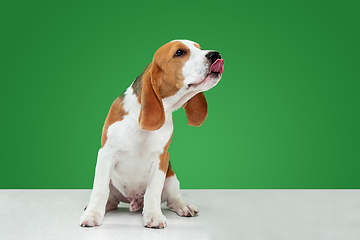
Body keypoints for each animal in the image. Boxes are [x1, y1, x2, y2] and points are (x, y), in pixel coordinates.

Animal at [80, 39, 224, 229]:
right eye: (179, 52)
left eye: (199, 48)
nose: (216, 55)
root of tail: (133, 201)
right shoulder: (106, 154)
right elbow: (99, 190)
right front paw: (92, 214)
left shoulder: (161, 159)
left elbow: (153, 192)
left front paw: (154, 215)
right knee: (110, 200)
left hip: (171, 179)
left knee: (173, 200)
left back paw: (184, 207)